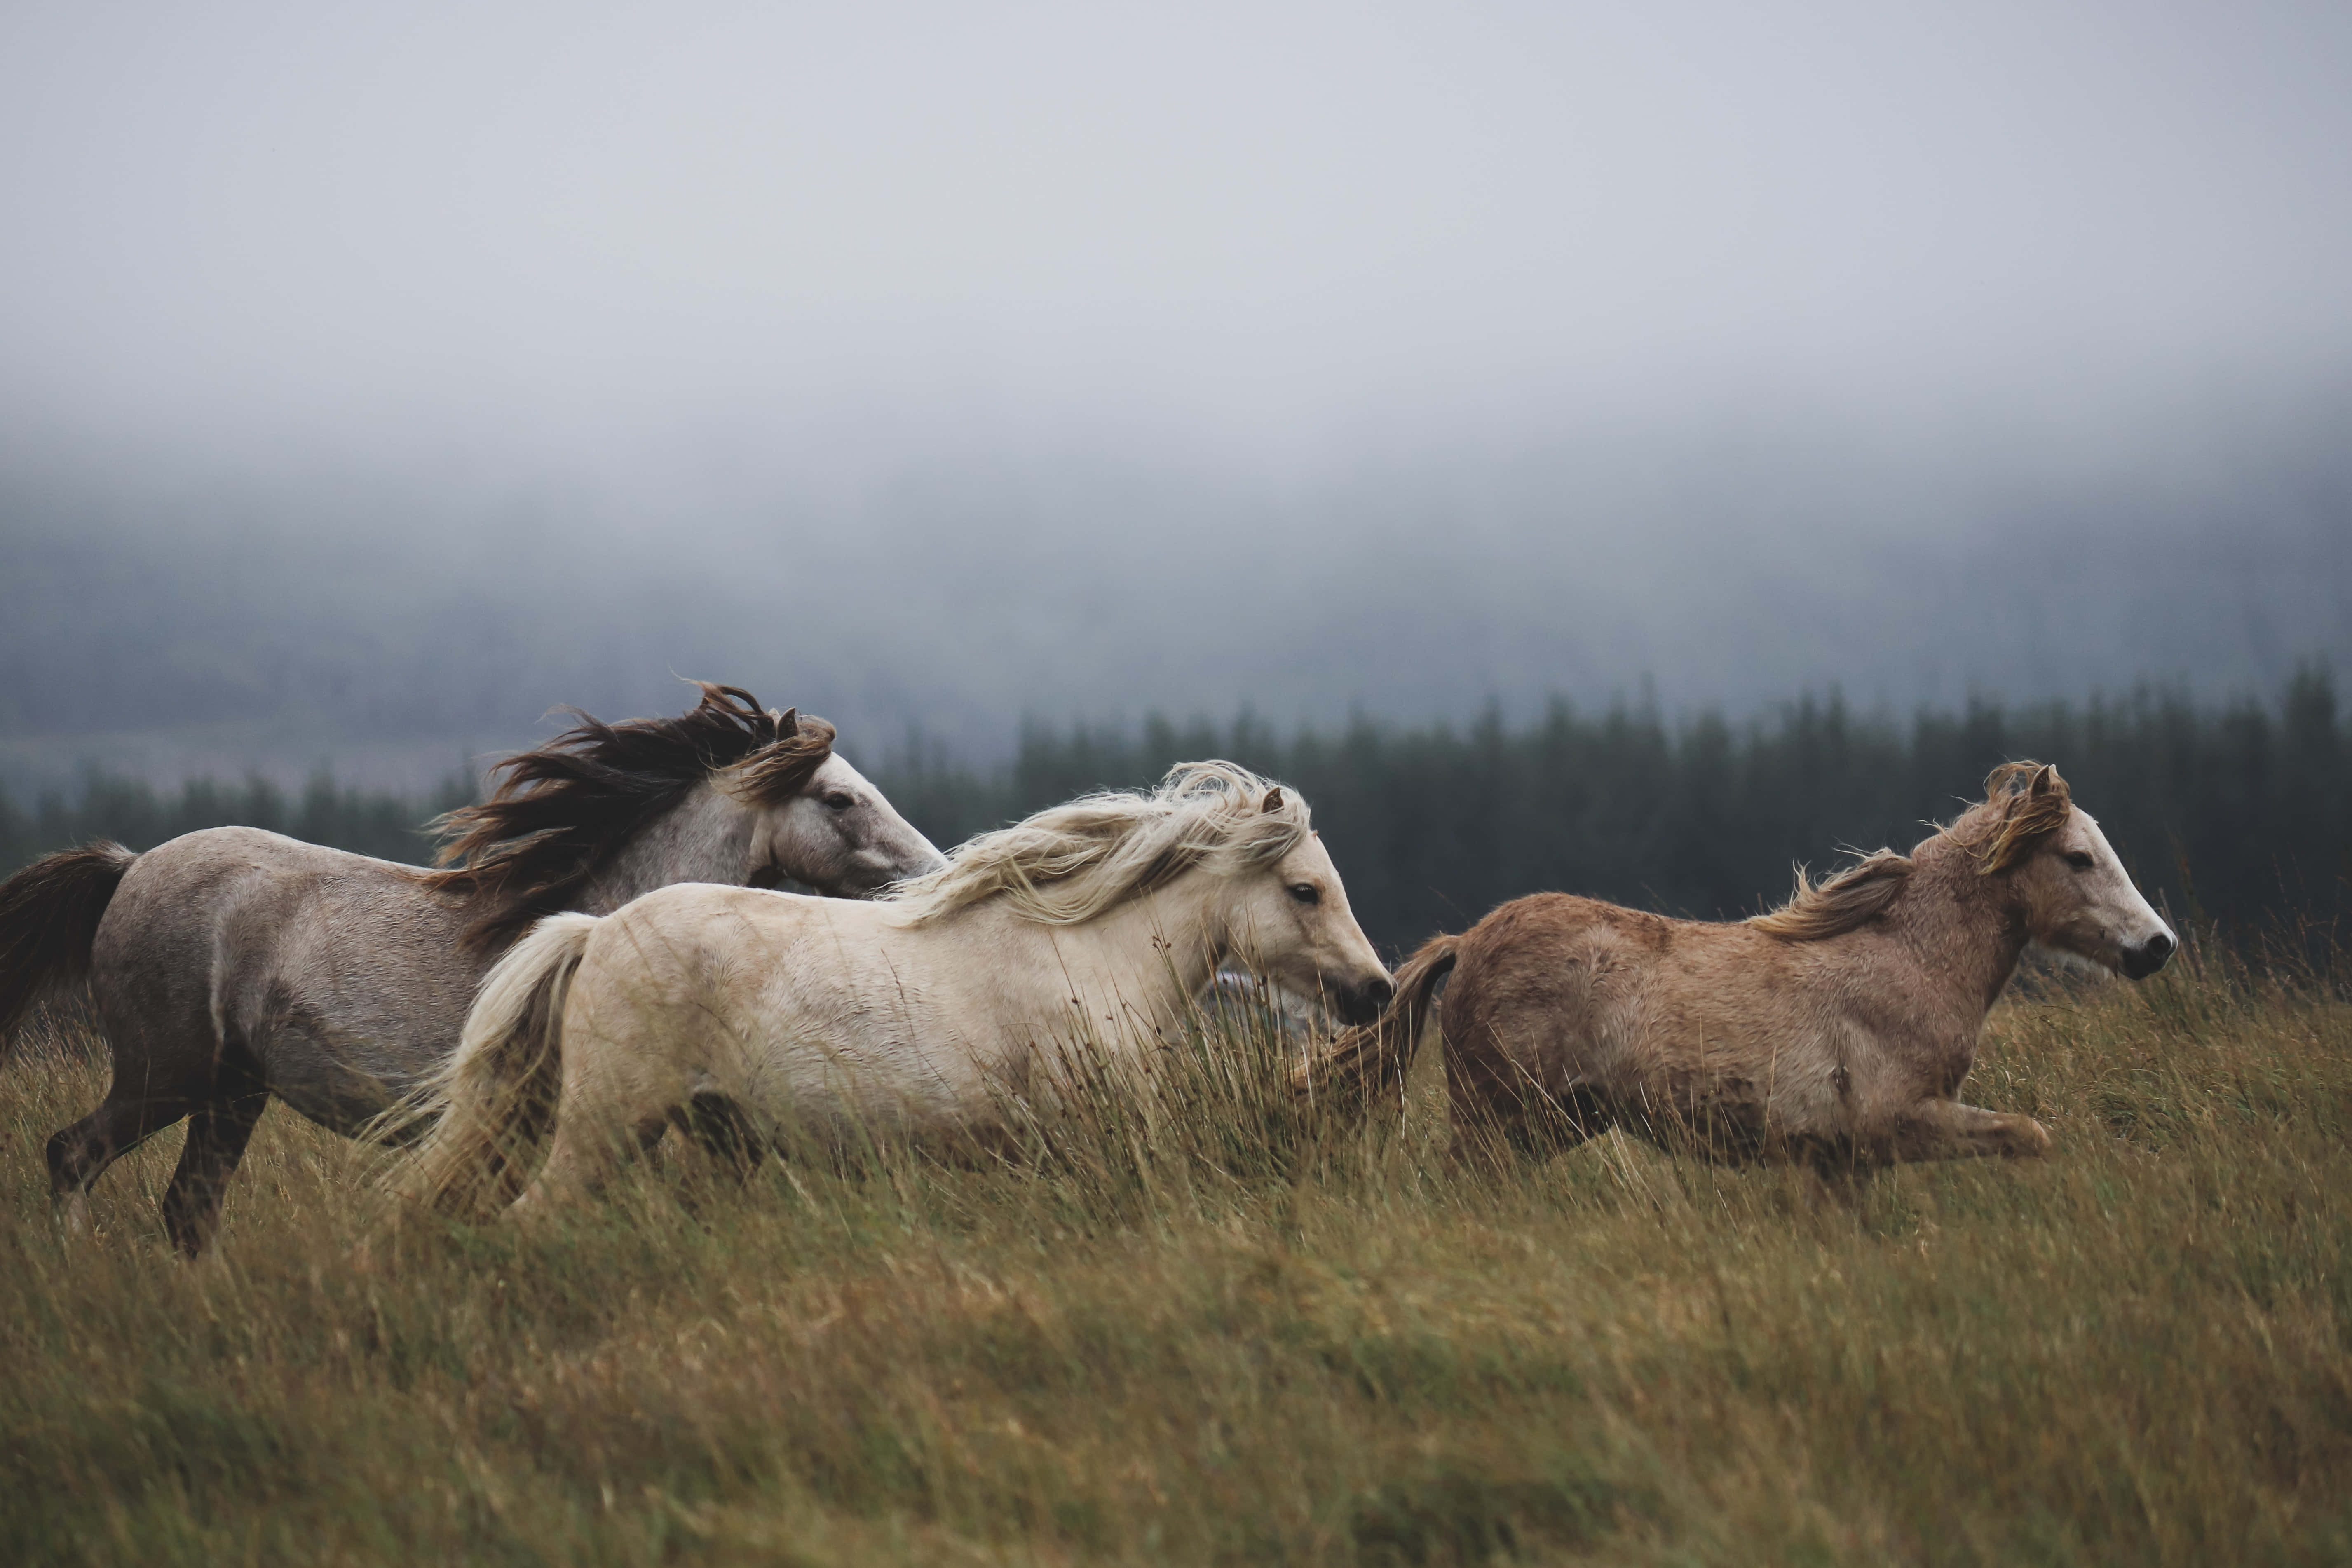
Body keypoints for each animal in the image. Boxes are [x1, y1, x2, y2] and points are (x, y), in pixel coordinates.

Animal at [0, 684, 947, 1255]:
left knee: (189, 1208)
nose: (931, 874)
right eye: (838, 799)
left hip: (234, 1091)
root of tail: (130, 867)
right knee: (74, 1155)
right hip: (167, 1073)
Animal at [1293, 762, 2177, 1166]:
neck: (1908, 963)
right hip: (1500, 1121)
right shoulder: (1900, 1122)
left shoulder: (1836, 1162)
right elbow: (2030, 1135)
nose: (2156, 945)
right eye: (2077, 858)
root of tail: (1467, 940)